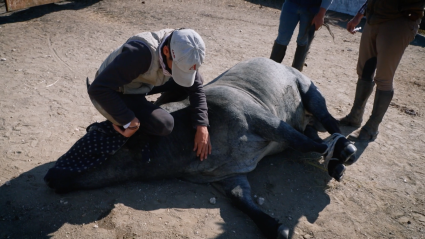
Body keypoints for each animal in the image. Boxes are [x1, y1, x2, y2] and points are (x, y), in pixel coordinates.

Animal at [44, 57, 354, 238]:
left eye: (93, 150)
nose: (50, 177)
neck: (191, 134)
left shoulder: (265, 120)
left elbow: (301, 141)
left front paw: (340, 152)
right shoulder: (227, 177)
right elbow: (242, 201)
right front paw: (274, 226)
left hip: (309, 92)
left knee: (327, 123)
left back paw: (342, 153)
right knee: (311, 130)